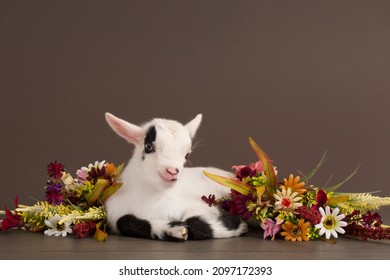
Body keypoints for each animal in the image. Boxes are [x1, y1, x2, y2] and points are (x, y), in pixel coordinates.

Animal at [105, 112, 248, 241]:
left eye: (187, 155)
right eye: (149, 146)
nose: (172, 171)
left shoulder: (203, 206)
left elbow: (192, 220)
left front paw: (239, 224)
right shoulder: (115, 214)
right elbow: (124, 221)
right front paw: (174, 229)